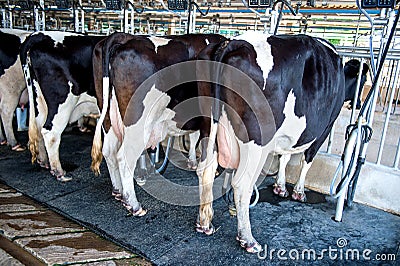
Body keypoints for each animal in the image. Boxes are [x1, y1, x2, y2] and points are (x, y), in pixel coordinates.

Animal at [19, 30, 104, 181]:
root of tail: (37, 35)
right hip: (62, 103)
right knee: (51, 132)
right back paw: (59, 171)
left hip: (39, 100)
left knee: (39, 126)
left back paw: (44, 161)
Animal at [91, 32, 228, 216]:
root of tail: (125, 37)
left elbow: (193, 137)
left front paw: (192, 161)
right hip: (137, 122)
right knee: (123, 156)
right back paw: (133, 204)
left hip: (108, 116)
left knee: (109, 151)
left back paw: (118, 191)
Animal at [195, 32, 346, 252]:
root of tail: (231, 42)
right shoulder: (324, 130)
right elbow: (306, 160)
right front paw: (298, 192)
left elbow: (285, 156)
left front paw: (280, 186)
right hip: (257, 139)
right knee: (242, 183)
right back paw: (248, 239)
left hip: (209, 124)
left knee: (205, 170)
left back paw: (205, 223)